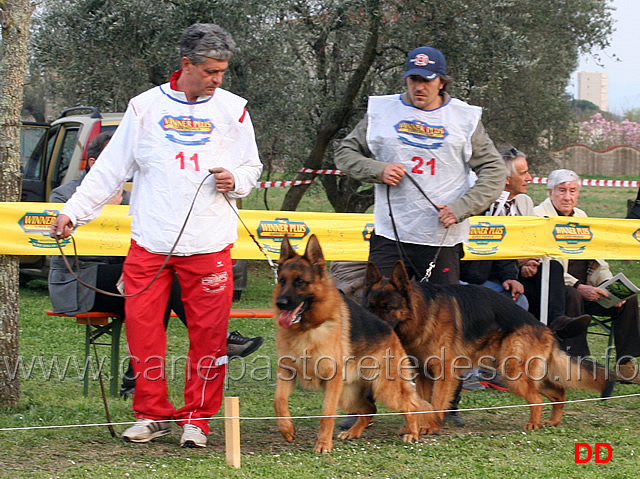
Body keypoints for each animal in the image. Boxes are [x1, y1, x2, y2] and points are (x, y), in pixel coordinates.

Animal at [272, 236, 442, 454]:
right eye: (282, 281)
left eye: (300, 282)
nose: (281, 303)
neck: (308, 328)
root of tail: (389, 329)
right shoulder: (287, 371)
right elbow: (279, 401)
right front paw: (286, 429)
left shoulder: (331, 381)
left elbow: (326, 413)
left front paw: (323, 444)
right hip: (348, 396)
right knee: (370, 409)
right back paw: (353, 432)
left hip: (385, 390)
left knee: (410, 405)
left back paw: (412, 433)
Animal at [360, 260, 616, 434]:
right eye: (369, 306)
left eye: (387, 307)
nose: (370, 328)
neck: (423, 312)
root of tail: (545, 327)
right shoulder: (423, 373)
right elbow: (424, 403)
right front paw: (419, 425)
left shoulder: (443, 374)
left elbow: (436, 402)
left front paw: (430, 427)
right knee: (558, 392)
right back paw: (553, 421)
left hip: (513, 373)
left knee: (538, 397)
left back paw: (534, 423)